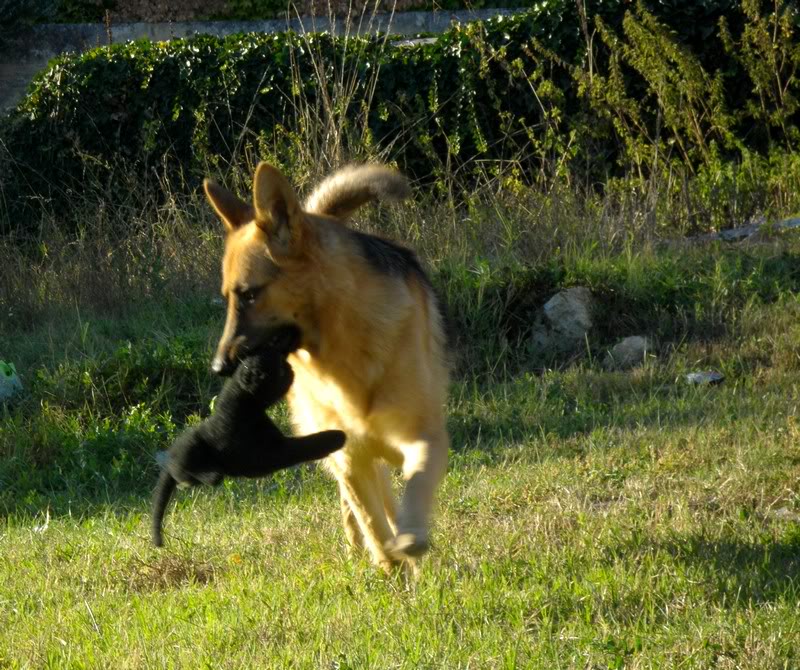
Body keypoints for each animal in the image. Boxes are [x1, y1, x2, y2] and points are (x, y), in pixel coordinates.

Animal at [203, 164, 450, 572]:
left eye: (250, 294)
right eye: (229, 299)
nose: (218, 367)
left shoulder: (424, 436)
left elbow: (416, 484)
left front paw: (412, 539)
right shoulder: (350, 458)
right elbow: (375, 525)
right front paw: (390, 564)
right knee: (363, 502)